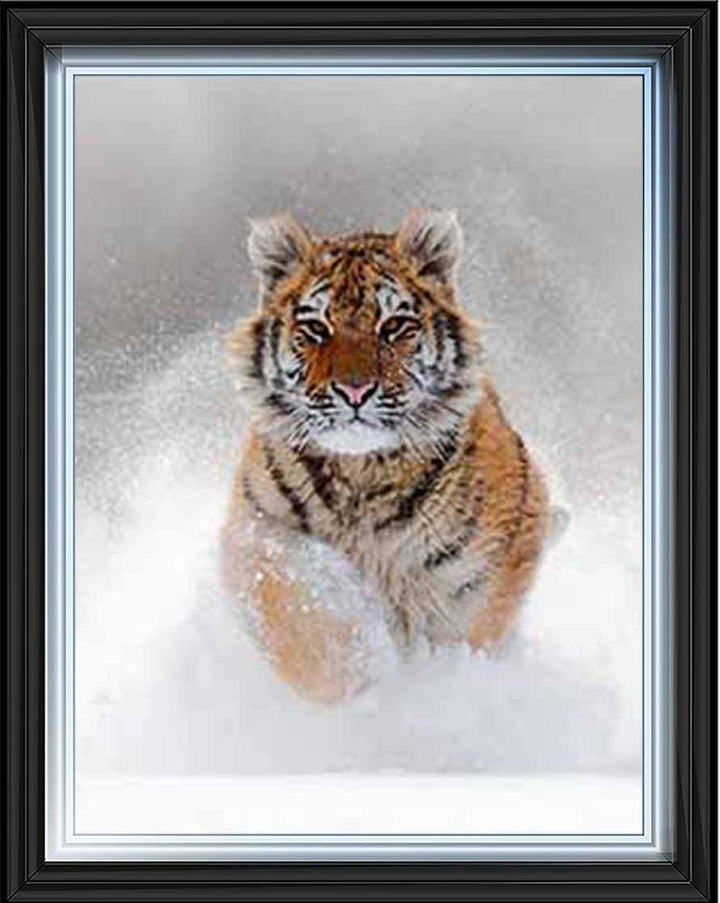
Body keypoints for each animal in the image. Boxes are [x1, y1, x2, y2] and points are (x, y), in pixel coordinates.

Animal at [222, 208, 554, 704]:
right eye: (316, 329)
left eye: (394, 326)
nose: (354, 390)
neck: (361, 473)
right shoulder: (255, 531)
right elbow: (301, 612)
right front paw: (357, 677)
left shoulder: (487, 567)